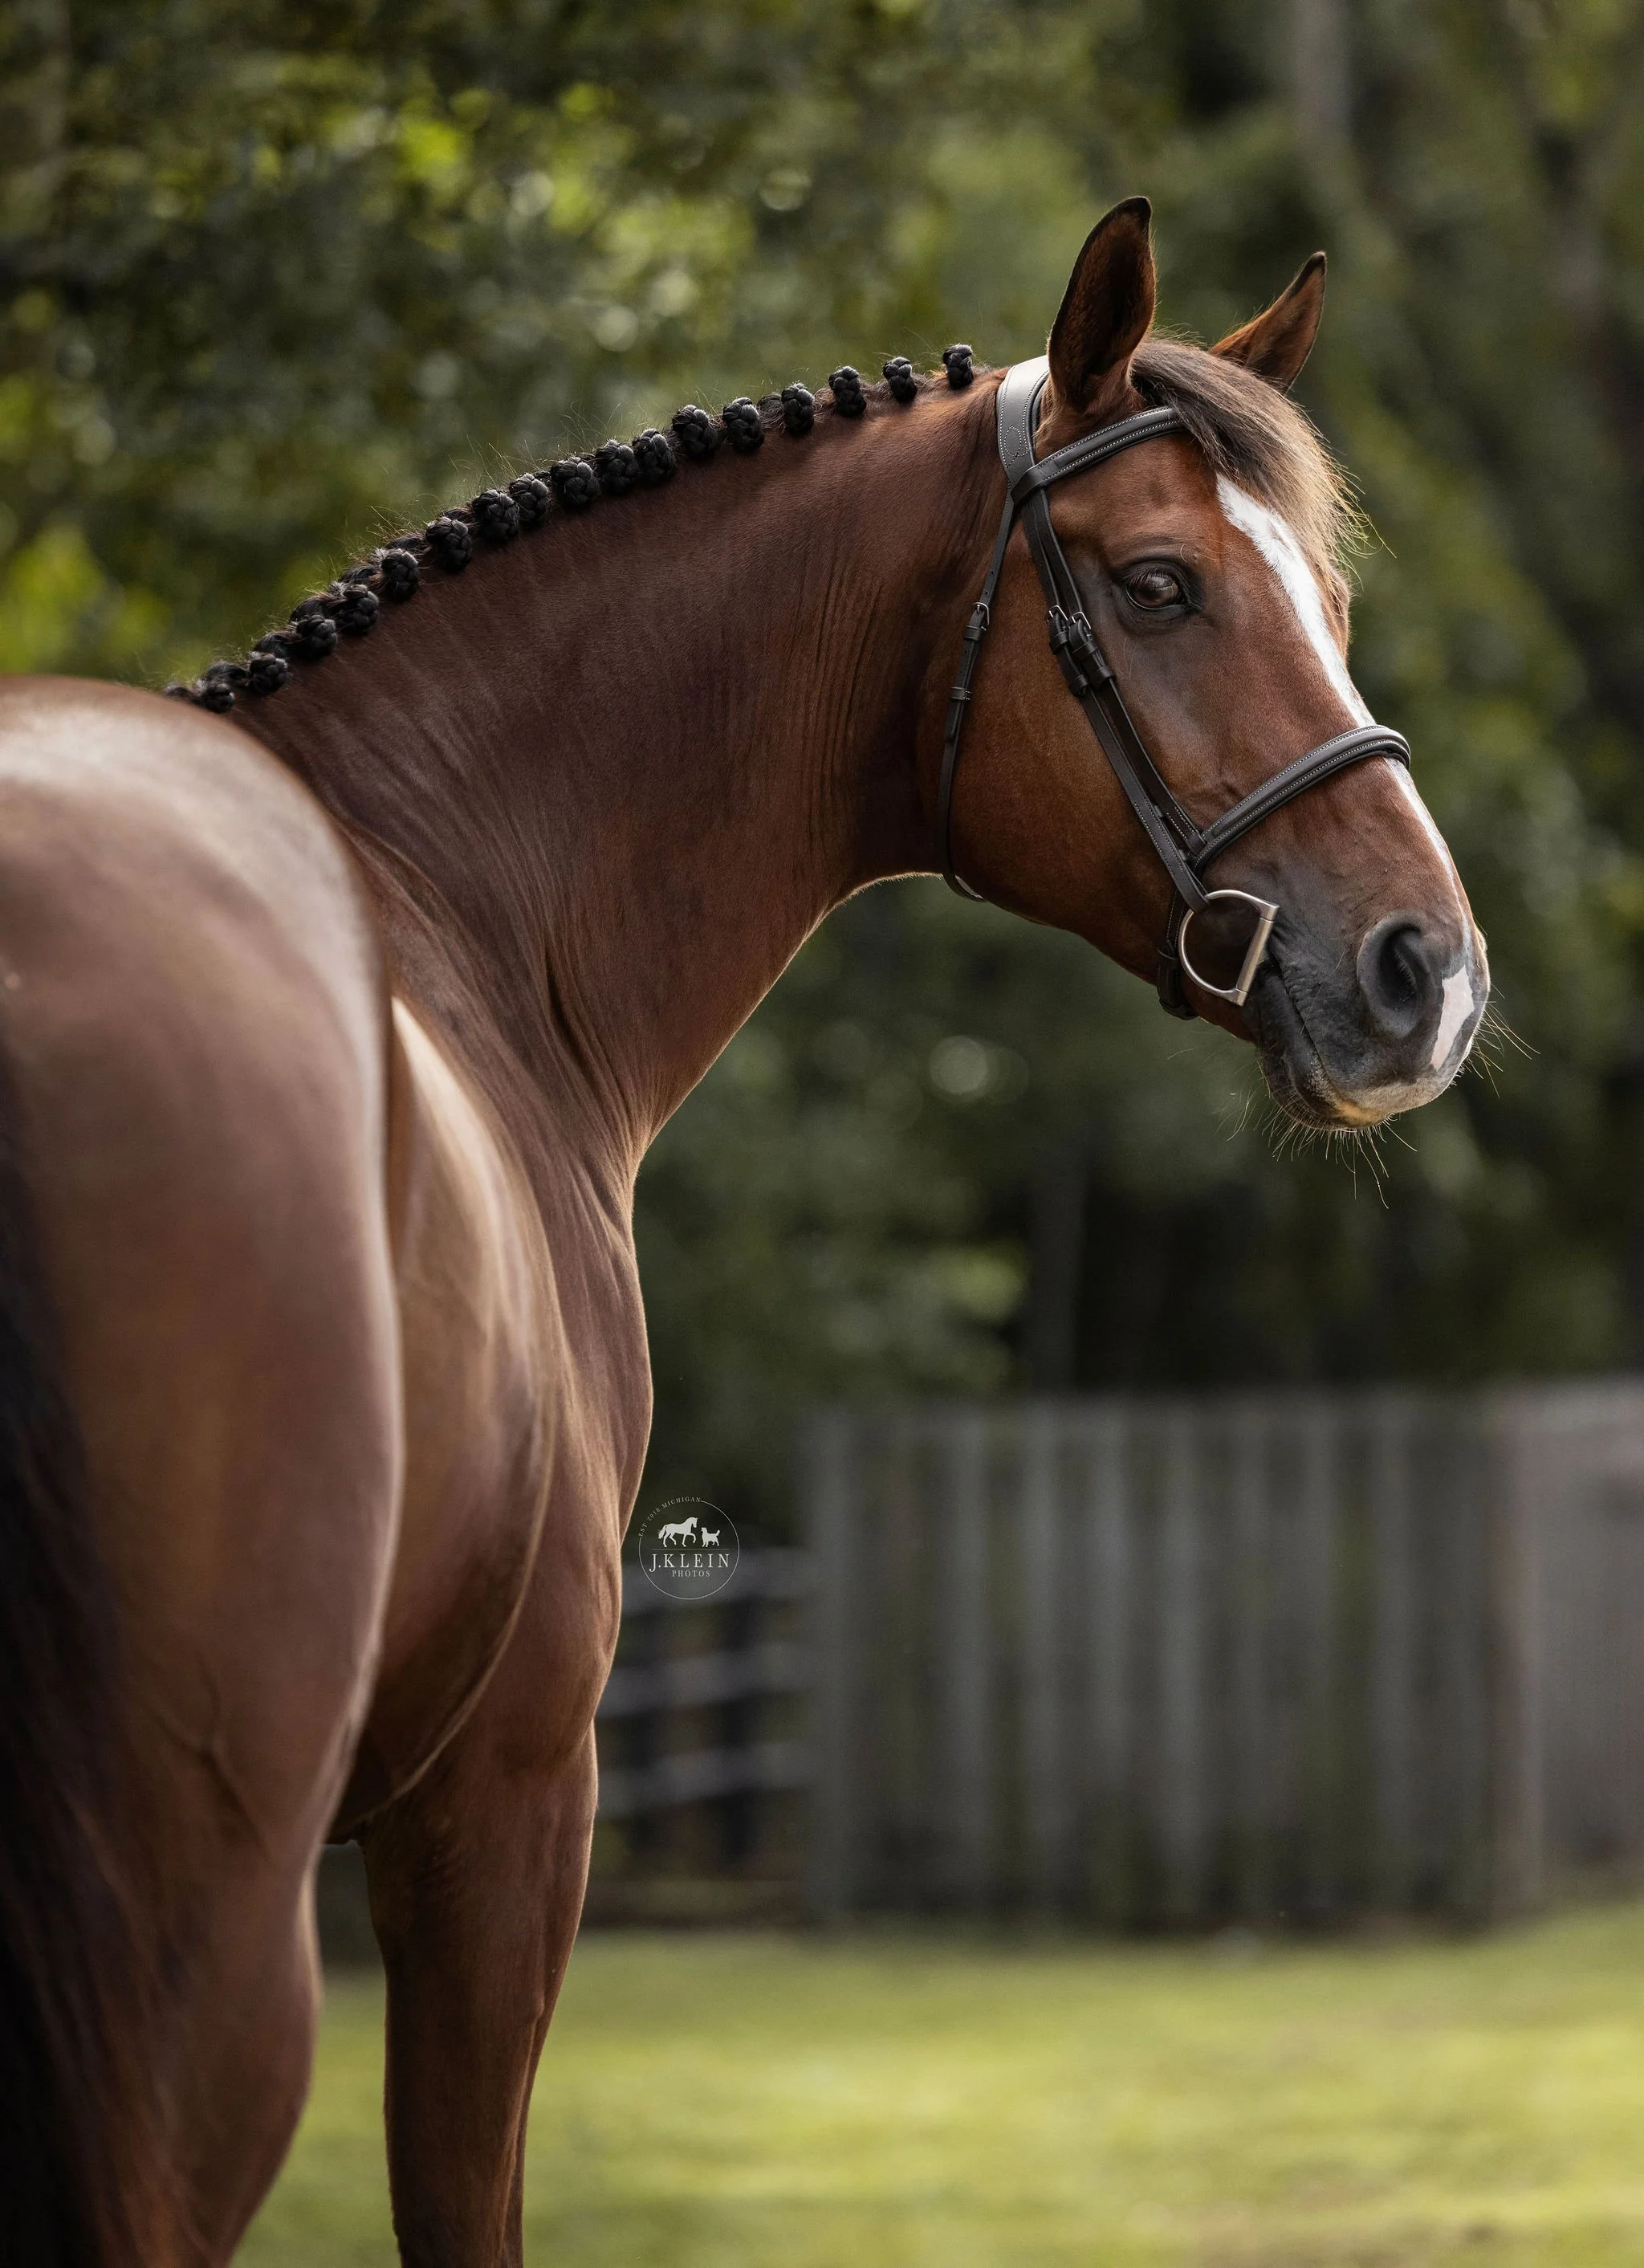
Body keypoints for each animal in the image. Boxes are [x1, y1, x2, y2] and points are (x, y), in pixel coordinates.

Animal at [0, 197, 1486, 2264]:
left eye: (1327, 607)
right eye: (1161, 584)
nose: (1426, 971)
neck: (448, 902)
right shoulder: (506, 1801)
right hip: (207, 1949)